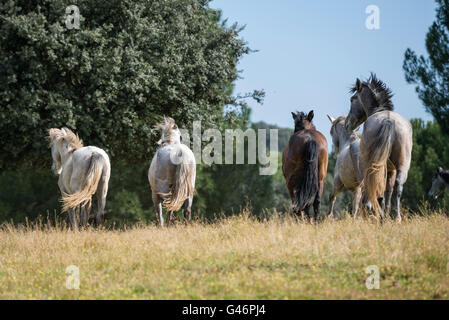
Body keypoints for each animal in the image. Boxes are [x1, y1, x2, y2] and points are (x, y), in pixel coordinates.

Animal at [344, 74, 412, 221]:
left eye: (352, 99)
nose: (347, 124)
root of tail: (388, 120)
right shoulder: (391, 169)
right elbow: (388, 191)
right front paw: (385, 214)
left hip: (370, 164)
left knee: (372, 187)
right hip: (402, 165)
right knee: (398, 186)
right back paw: (396, 218)